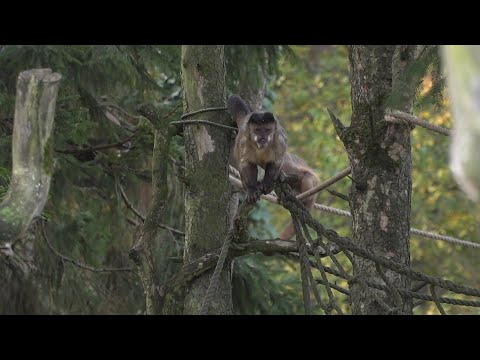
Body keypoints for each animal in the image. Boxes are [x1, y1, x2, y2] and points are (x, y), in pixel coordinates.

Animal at [228, 94, 318, 240]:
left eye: (267, 130)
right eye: (258, 130)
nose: (262, 137)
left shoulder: (279, 140)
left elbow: (276, 161)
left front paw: (267, 184)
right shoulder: (244, 141)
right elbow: (246, 163)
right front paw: (252, 190)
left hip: (313, 181)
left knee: (306, 178)